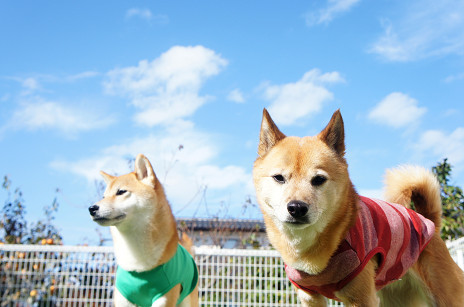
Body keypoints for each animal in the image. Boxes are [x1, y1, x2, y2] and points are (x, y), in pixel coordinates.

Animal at [254, 109, 464, 306]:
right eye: (279, 178)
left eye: (319, 179)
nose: (297, 207)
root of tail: (431, 223)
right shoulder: (310, 297)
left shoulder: (361, 297)